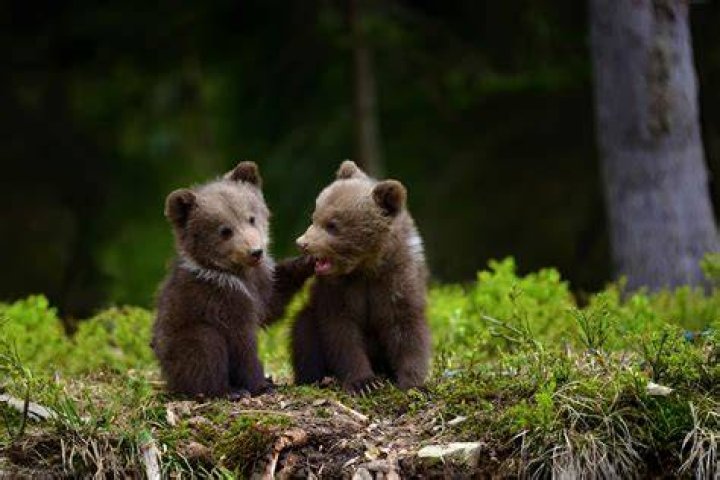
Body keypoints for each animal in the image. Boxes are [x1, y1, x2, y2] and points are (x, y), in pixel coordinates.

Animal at [152, 161, 312, 398]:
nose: (255, 252)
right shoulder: (221, 298)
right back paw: (228, 390)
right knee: (205, 345)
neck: (237, 273)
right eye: (225, 230)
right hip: (179, 342)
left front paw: (308, 261)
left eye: (251, 218)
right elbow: (241, 343)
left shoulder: (259, 283)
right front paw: (260, 384)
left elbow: (272, 302)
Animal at [291, 160, 431, 394]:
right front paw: (363, 382)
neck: (366, 267)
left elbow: (406, 328)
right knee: (303, 331)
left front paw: (413, 383)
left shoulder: (397, 279)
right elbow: (342, 333)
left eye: (332, 225)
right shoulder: (338, 290)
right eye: (315, 216)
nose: (302, 243)